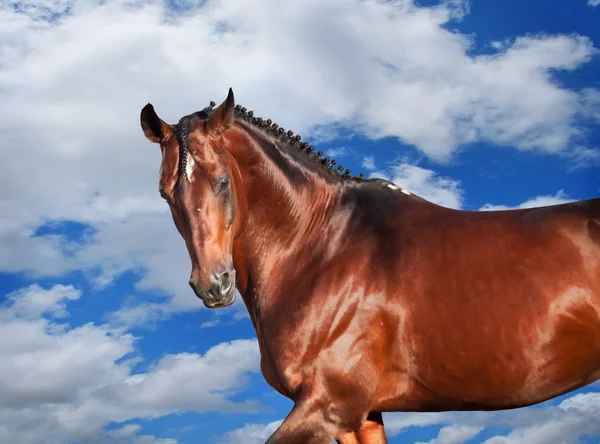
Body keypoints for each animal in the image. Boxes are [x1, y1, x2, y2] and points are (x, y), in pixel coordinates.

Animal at [141, 88, 600, 442]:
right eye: (165, 194)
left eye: (222, 181)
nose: (213, 284)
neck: (320, 247)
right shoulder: (361, 415)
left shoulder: (330, 406)